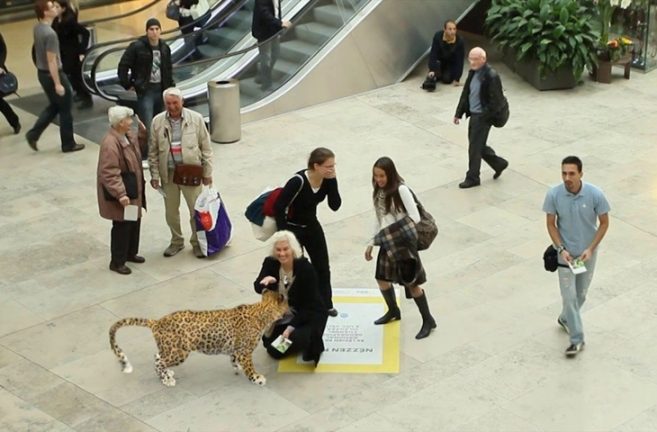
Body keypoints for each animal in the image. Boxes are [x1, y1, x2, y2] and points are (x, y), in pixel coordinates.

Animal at [107, 288, 288, 386]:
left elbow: (234, 358)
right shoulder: (245, 351)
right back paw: (167, 380)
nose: (292, 310)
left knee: (157, 356)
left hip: (168, 348)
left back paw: (168, 374)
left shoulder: (237, 349)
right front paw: (257, 378)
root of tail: (157, 322)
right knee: (158, 362)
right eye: (287, 303)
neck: (262, 311)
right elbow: (250, 367)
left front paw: (237, 366)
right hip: (179, 352)